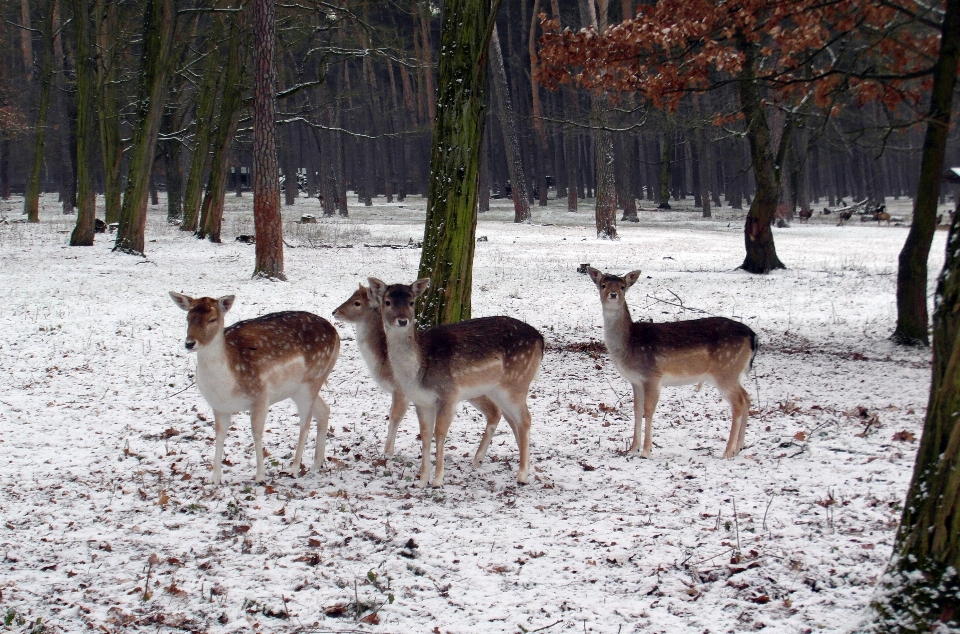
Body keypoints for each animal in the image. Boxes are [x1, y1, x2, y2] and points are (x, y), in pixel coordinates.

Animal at [170, 292, 342, 484]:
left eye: (212, 319)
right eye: (187, 318)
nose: (189, 343)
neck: (227, 386)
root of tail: (336, 333)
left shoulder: (261, 396)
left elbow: (257, 433)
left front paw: (260, 476)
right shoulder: (219, 406)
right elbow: (220, 435)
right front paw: (214, 479)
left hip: (311, 381)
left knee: (305, 422)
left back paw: (294, 468)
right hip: (298, 388)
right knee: (324, 410)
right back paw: (316, 465)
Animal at [334, 284, 502, 462]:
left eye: (357, 302)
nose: (334, 312)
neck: (383, 362)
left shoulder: (400, 389)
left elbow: (394, 416)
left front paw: (387, 452)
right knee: (495, 411)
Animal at [368, 274, 544, 486]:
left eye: (411, 302)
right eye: (387, 302)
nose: (402, 321)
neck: (418, 371)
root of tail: (541, 340)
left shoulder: (448, 394)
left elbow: (439, 433)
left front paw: (437, 480)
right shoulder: (421, 401)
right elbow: (425, 435)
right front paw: (422, 480)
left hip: (517, 382)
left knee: (525, 419)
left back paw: (522, 474)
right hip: (497, 389)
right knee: (511, 418)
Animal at [584, 268, 756, 460]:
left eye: (622, 286)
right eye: (603, 285)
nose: (613, 294)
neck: (629, 344)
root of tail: (752, 336)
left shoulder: (652, 375)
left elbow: (648, 411)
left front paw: (646, 451)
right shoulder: (635, 381)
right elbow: (637, 410)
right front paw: (633, 449)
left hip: (726, 370)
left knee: (738, 403)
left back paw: (727, 452)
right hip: (733, 372)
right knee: (747, 398)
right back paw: (739, 448)